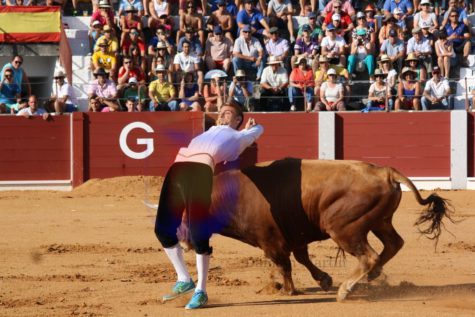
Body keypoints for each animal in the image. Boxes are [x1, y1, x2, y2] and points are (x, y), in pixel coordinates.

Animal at [179, 158, 454, 302]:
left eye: (183, 217)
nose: (182, 243)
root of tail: (386, 171)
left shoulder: (272, 241)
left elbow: (284, 264)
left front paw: (290, 290)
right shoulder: (294, 237)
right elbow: (301, 258)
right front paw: (323, 280)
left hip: (343, 229)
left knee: (368, 256)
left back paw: (346, 290)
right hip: (380, 221)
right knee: (393, 243)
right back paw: (372, 275)